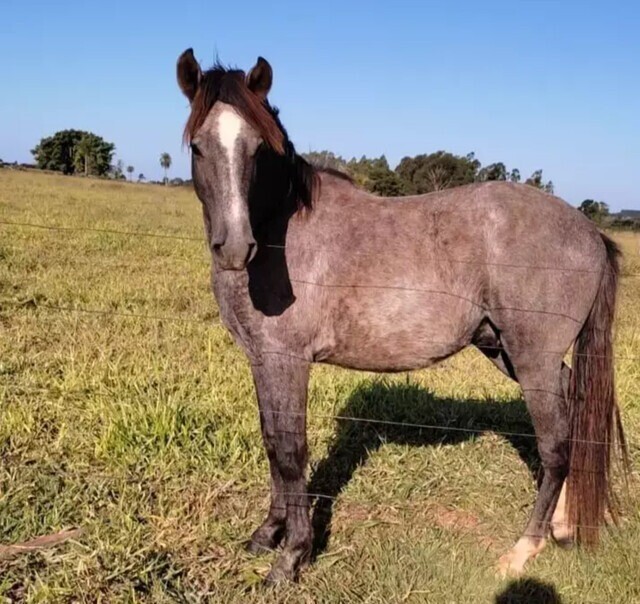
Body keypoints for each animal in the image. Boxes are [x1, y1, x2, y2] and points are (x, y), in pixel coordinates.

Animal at [174, 48, 624, 584]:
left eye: (258, 149)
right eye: (198, 147)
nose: (234, 247)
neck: (281, 233)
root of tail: (591, 232)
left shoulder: (288, 362)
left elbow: (291, 450)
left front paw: (292, 555)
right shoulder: (261, 361)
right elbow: (271, 442)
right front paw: (267, 535)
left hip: (531, 357)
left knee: (554, 444)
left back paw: (522, 549)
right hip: (506, 348)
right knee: (572, 409)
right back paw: (562, 524)